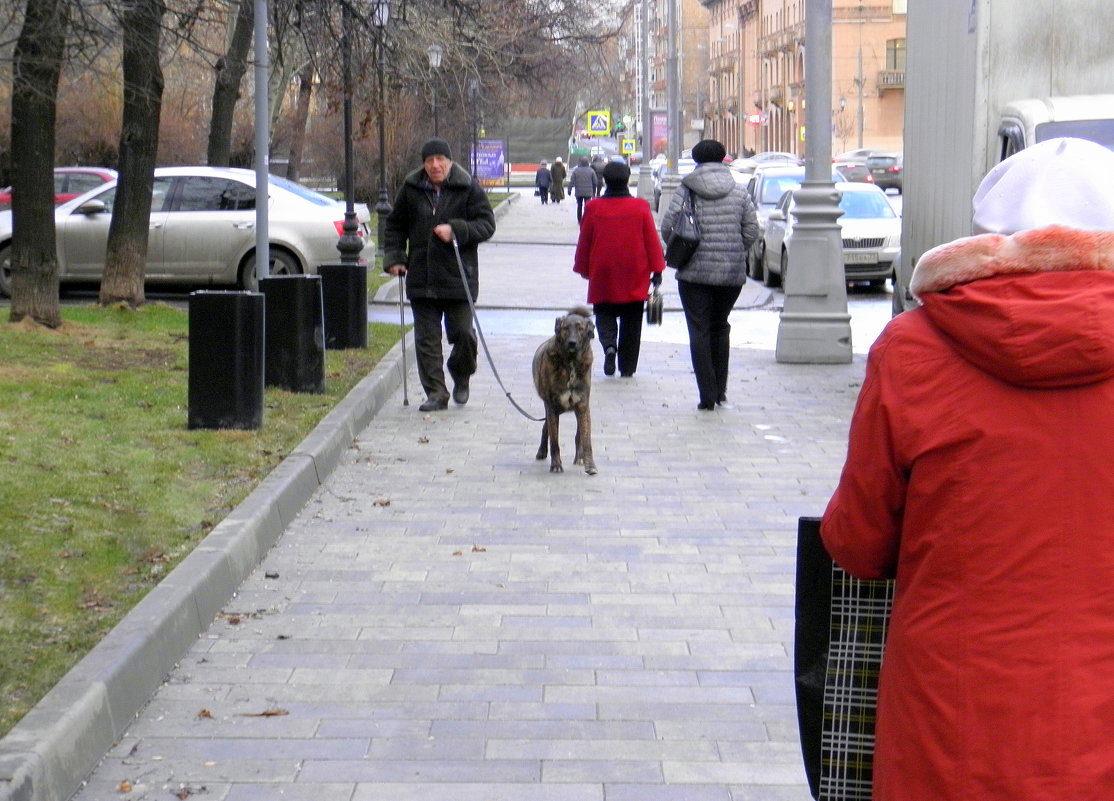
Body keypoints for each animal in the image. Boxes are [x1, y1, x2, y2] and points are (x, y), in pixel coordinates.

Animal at [532, 307, 597, 476]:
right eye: (565, 328)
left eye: (580, 328)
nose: (572, 343)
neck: (571, 363)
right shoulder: (552, 407)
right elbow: (554, 440)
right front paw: (556, 465)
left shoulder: (583, 406)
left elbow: (586, 439)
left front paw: (590, 465)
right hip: (553, 409)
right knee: (546, 427)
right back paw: (542, 451)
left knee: (578, 434)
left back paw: (579, 457)